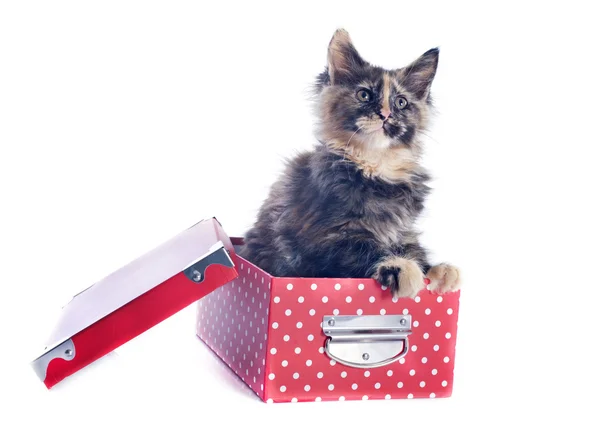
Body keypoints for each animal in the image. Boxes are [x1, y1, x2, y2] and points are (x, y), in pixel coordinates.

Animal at [238, 28, 460, 298]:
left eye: (401, 103)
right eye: (364, 95)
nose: (386, 114)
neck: (376, 165)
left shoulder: (402, 229)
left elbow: (412, 247)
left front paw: (437, 269)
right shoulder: (323, 237)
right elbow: (362, 249)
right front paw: (401, 267)